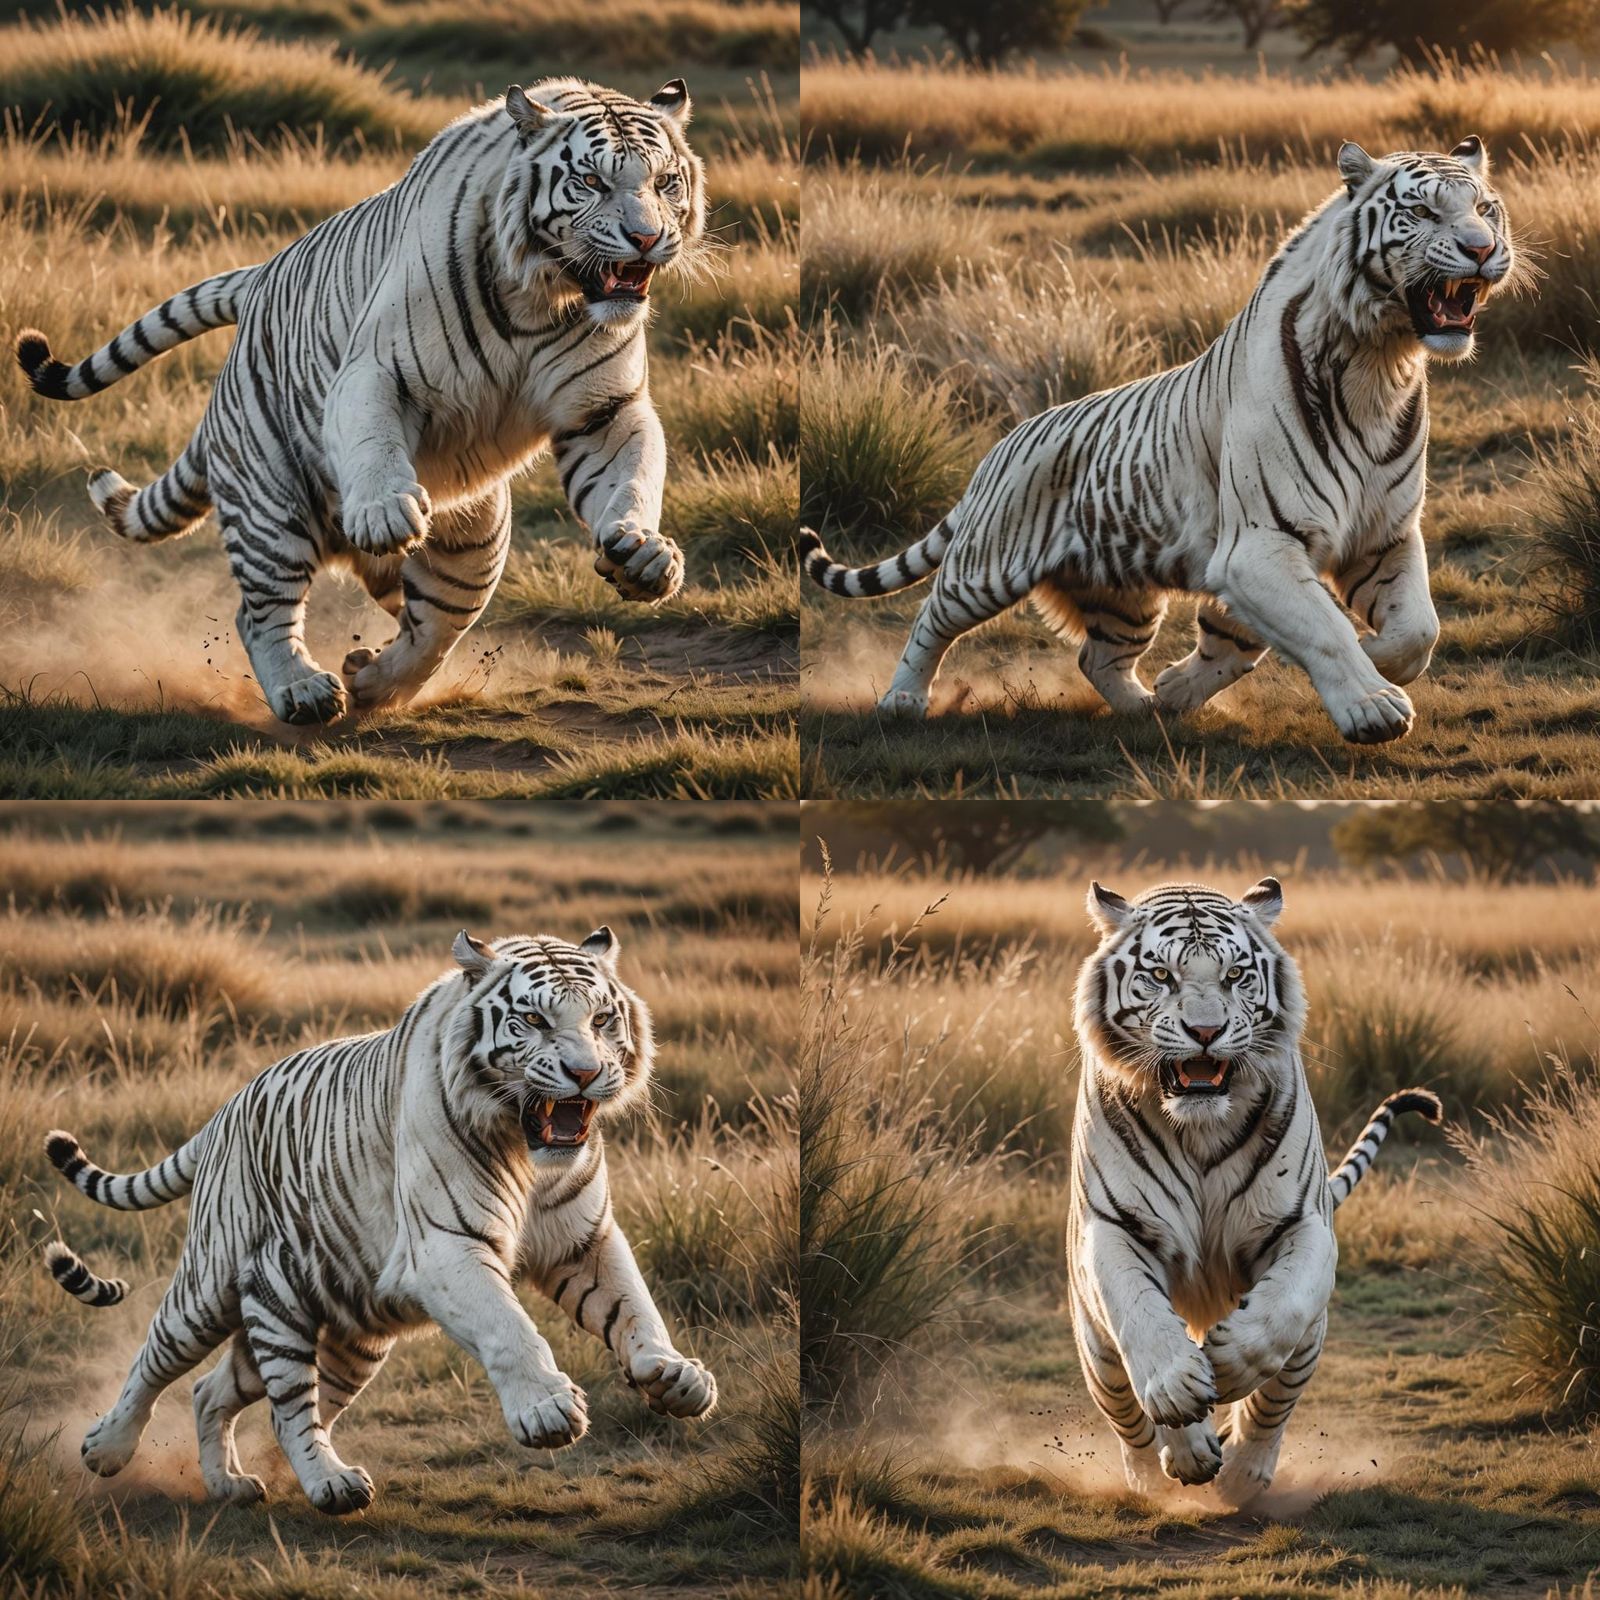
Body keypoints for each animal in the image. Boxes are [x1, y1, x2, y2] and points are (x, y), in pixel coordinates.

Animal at [14, 78, 705, 726]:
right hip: (271, 506)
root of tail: (260, 274)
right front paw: (382, 513)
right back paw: (306, 691)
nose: (646, 238)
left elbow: (632, 475)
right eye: (590, 181)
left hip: (473, 544)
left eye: (666, 182)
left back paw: (372, 682)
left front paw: (644, 553)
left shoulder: (605, 410)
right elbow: (375, 441)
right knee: (259, 612)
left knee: (433, 625)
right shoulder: (376, 369)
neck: (544, 294)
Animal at [41, 927, 717, 1516]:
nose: (585, 1073)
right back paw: (129, 1453)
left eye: (601, 1020)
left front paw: (675, 1376)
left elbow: (634, 1306)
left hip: (348, 1333)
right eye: (534, 1020)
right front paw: (547, 1410)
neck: (529, 1154)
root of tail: (226, 1108)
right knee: (205, 1377)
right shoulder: (447, 1246)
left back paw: (230, 1485)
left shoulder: (585, 1240)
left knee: (217, 1392)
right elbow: (510, 1327)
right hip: (216, 1289)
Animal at [801, 136, 1517, 746]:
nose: (1482, 250)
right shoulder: (1259, 545)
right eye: (1423, 211)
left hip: (1124, 598)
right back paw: (902, 701)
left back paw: (1151, 707)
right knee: (931, 617)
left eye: (1485, 208)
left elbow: (1417, 627)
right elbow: (1327, 631)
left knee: (1099, 657)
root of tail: (1003, 445)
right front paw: (1373, 706)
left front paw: (1374, 664)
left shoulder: (1381, 534)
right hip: (987, 564)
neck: (1378, 362)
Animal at [1066, 877, 1440, 1507]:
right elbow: (1140, 1313)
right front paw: (1178, 1390)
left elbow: (1280, 1310)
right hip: (1096, 1351)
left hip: (1310, 1343)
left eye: (1236, 975)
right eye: (1161, 974)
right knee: (1129, 1416)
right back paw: (1169, 1467)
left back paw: (1243, 1474)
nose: (1205, 1032)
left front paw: (1229, 1361)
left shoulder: (1303, 1224)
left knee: (1275, 1402)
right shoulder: (1116, 1226)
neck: (1197, 1125)